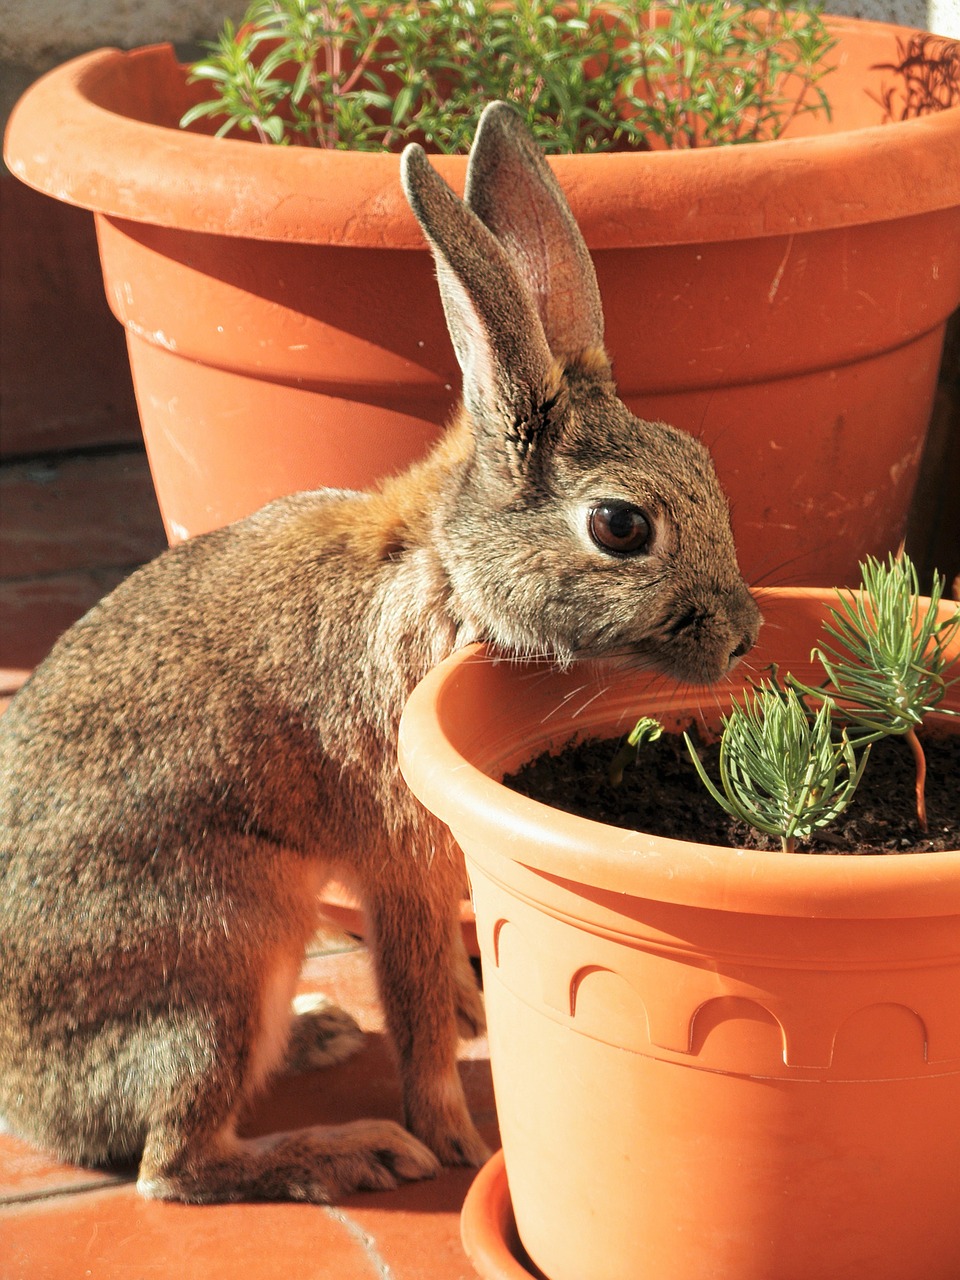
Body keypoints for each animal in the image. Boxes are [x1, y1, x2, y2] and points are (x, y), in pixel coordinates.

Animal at [1, 97, 768, 1198]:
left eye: (702, 462)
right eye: (621, 526)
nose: (746, 635)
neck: (448, 572)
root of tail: (33, 1110)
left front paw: (472, 1015)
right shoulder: (400, 851)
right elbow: (412, 1004)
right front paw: (455, 1136)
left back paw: (321, 1033)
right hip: (223, 955)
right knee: (173, 1165)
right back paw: (354, 1148)